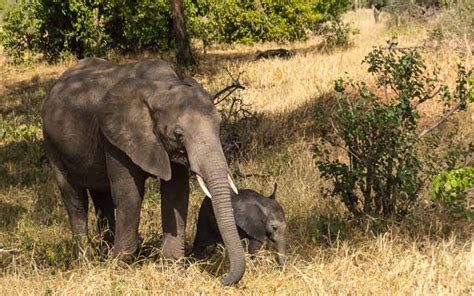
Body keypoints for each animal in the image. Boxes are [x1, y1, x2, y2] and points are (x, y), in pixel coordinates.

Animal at [41, 56, 244, 286]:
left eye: (219, 125)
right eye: (178, 135)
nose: (222, 279)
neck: (160, 87)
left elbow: (176, 194)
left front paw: (172, 267)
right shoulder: (115, 136)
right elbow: (129, 196)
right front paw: (119, 267)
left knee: (102, 196)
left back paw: (105, 251)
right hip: (52, 145)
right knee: (75, 199)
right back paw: (87, 262)